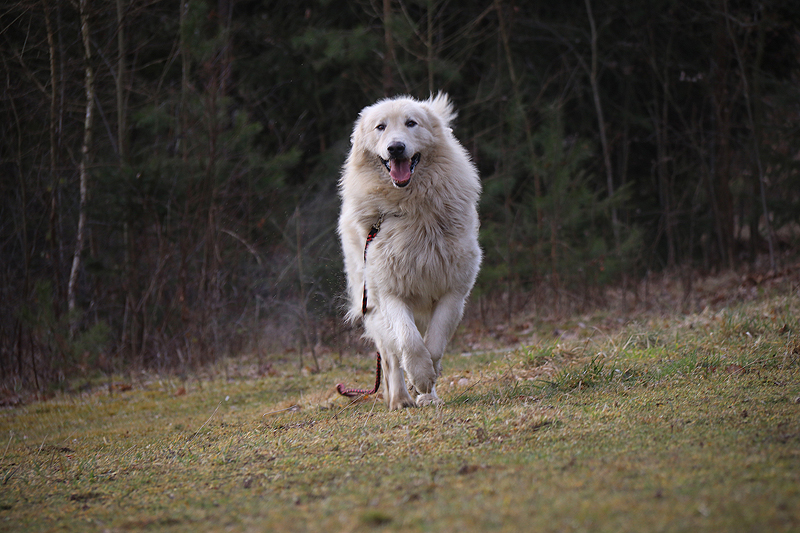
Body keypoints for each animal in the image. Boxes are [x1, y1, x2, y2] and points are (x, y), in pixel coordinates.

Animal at [338, 93, 481, 409]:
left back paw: (427, 397)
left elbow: (435, 341)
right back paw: (400, 399)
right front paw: (419, 375)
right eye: (380, 127)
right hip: (371, 304)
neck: (410, 208)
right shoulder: (389, 292)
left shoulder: (454, 290)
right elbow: (408, 340)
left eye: (411, 123)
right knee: (390, 358)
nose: (396, 147)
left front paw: (427, 382)